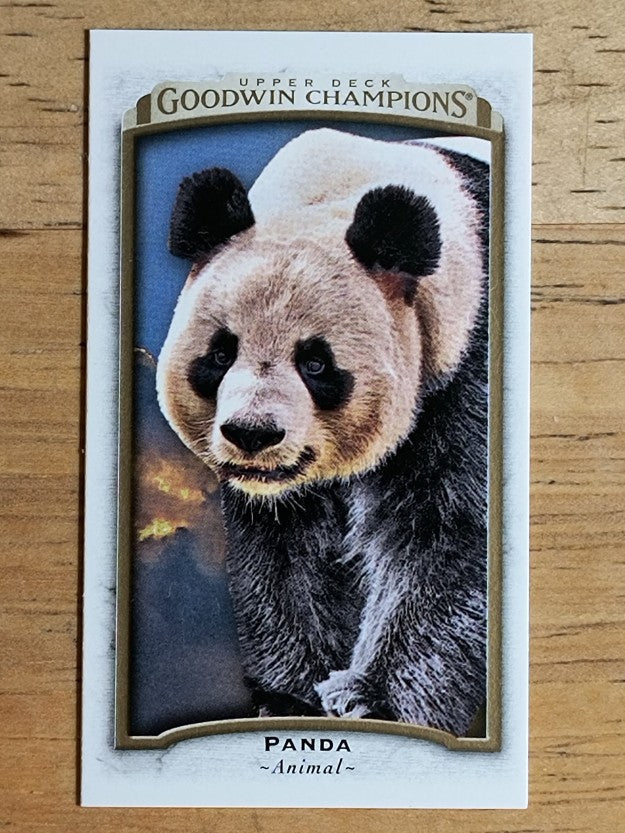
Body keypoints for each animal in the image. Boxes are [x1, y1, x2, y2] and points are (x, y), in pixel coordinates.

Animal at [156, 127, 489, 736]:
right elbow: (287, 549)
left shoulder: (464, 370)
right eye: (220, 354)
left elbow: (446, 533)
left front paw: (370, 700)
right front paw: (293, 696)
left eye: (316, 363)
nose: (253, 434)